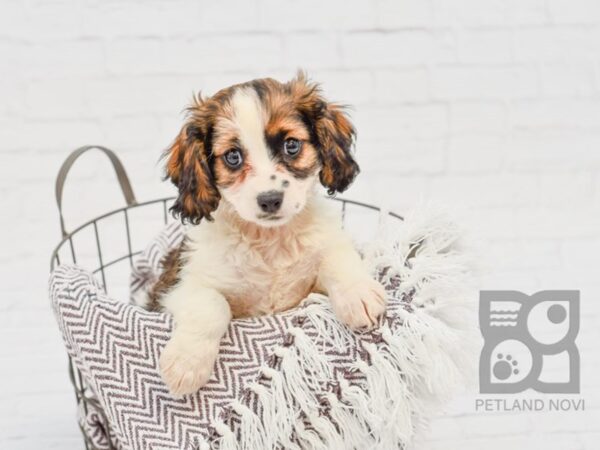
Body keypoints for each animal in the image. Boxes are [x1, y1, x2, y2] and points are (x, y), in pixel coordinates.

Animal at [152, 74, 386, 398]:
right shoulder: (177, 286)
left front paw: (358, 293)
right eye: (233, 156)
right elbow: (212, 305)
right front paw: (186, 363)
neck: (270, 241)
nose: (270, 200)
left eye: (291, 145)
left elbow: (336, 259)